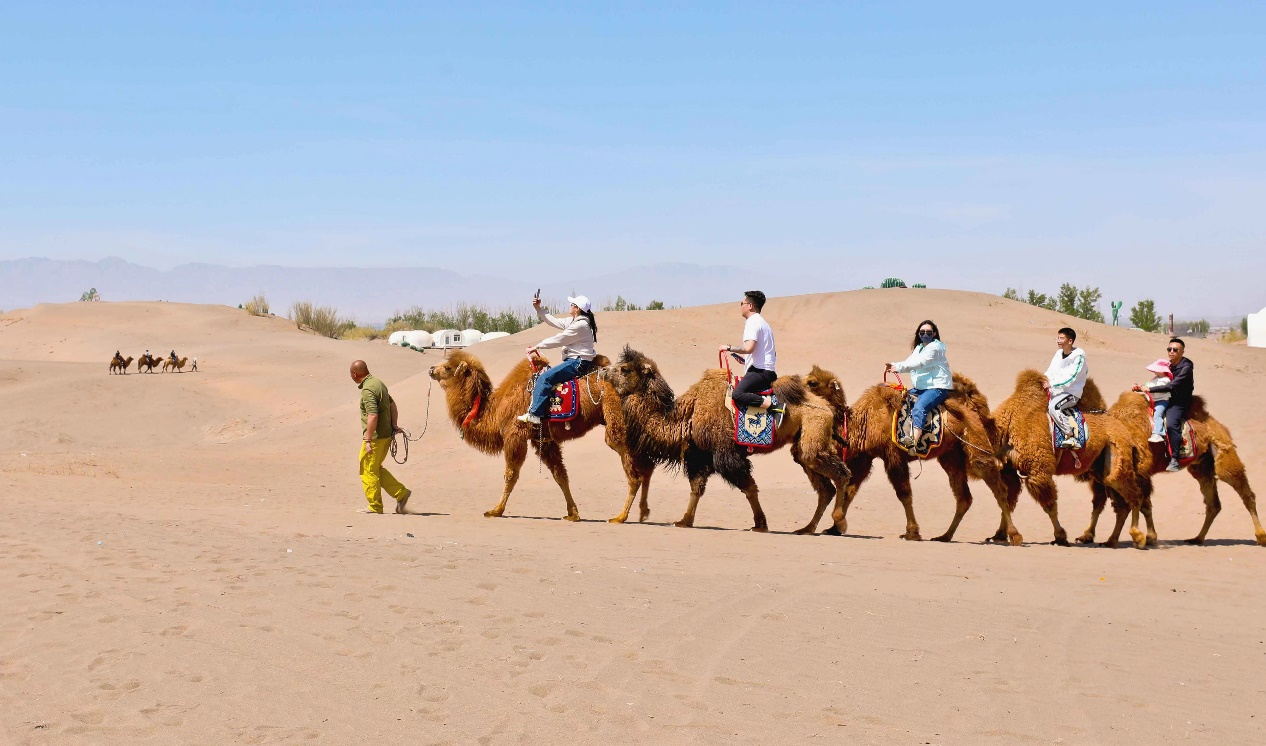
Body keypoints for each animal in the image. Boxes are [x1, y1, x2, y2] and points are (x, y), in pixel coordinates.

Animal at [430, 349, 658, 521]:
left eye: (448, 368)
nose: (431, 369)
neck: (495, 409)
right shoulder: (542, 440)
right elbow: (560, 475)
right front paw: (573, 513)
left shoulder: (515, 435)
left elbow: (510, 474)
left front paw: (496, 510)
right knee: (646, 463)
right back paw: (642, 512)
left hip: (615, 420)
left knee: (633, 469)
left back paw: (621, 516)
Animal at [605, 347, 850, 531]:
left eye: (624, 369)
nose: (604, 372)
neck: (687, 415)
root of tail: (827, 406)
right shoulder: (699, 455)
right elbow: (696, 488)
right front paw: (684, 520)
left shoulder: (725, 454)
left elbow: (749, 487)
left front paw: (760, 524)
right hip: (803, 447)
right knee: (825, 487)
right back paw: (807, 529)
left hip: (813, 432)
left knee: (842, 475)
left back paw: (838, 523)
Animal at [800, 367, 1017, 542]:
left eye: (812, 382)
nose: (794, 387)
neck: (863, 422)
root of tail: (977, 403)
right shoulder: (865, 457)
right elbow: (850, 489)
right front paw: (835, 527)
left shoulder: (892, 455)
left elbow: (904, 493)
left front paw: (912, 532)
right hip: (951, 455)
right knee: (964, 497)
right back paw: (944, 536)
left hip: (974, 443)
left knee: (998, 486)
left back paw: (1012, 535)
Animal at [992, 369, 1154, 544]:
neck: (1007, 427)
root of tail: (1126, 433)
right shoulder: (1009, 470)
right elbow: (1006, 501)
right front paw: (1001, 534)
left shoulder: (1038, 470)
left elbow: (1049, 506)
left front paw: (1060, 536)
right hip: (1102, 469)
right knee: (1121, 504)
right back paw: (1111, 541)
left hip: (1117, 457)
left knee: (1135, 496)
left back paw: (1138, 537)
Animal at [1078, 390, 1266, 547]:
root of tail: (1218, 425)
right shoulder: (1103, 478)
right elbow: (1104, 504)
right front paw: (1090, 537)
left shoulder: (1139, 474)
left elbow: (1141, 504)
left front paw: (1148, 537)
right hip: (1202, 467)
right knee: (1213, 504)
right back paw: (1197, 539)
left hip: (1224, 455)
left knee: (1246, 494)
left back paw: (1261, 537)